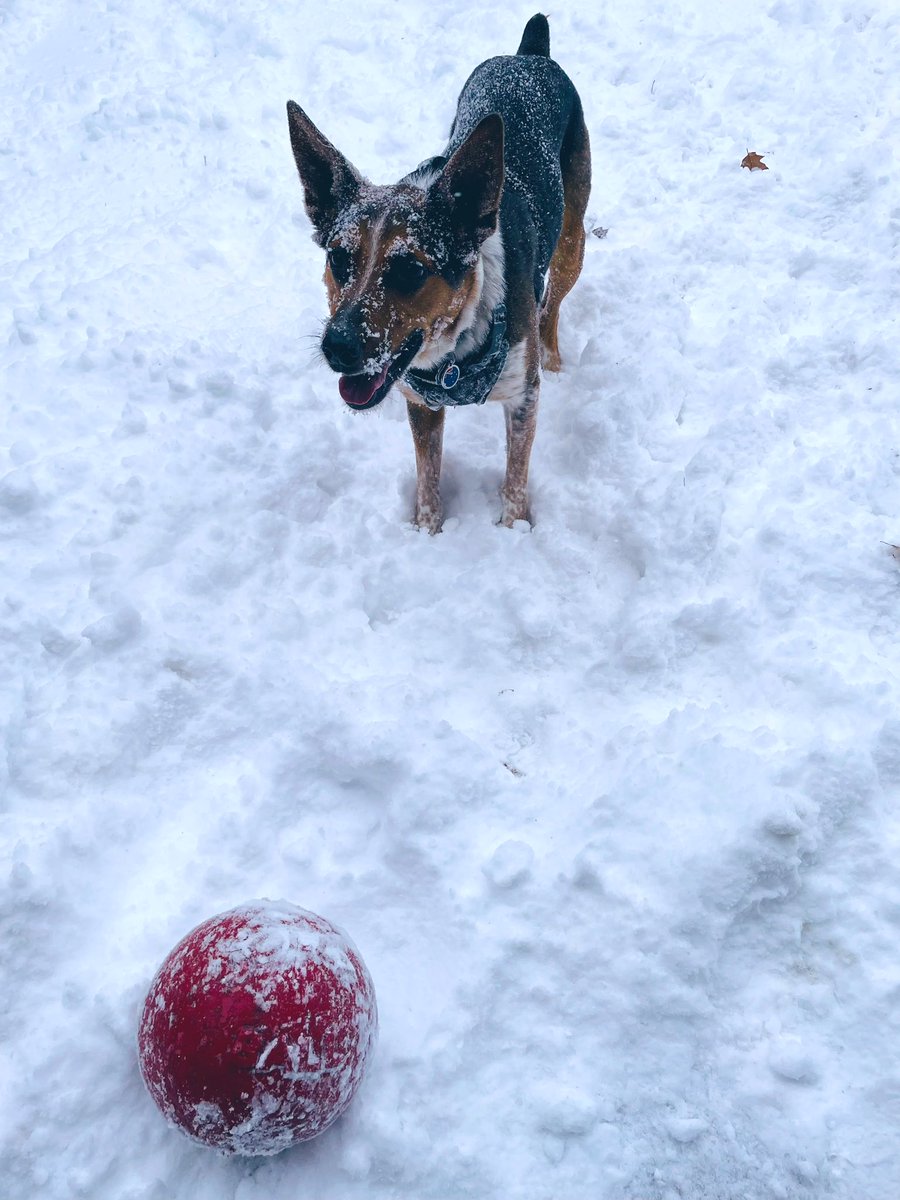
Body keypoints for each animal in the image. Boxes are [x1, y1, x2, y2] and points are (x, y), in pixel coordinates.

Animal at [289, 12, 592, 530]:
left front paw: (513, 532)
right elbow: (427, 478)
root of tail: (530, 54)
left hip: (573, 240)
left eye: (410, 269)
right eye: (338, 259)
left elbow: (515, 481)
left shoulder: (523, 399)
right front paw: (426, 532)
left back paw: (554, 359)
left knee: (551, 304)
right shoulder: (420, 401)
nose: (337, 348)